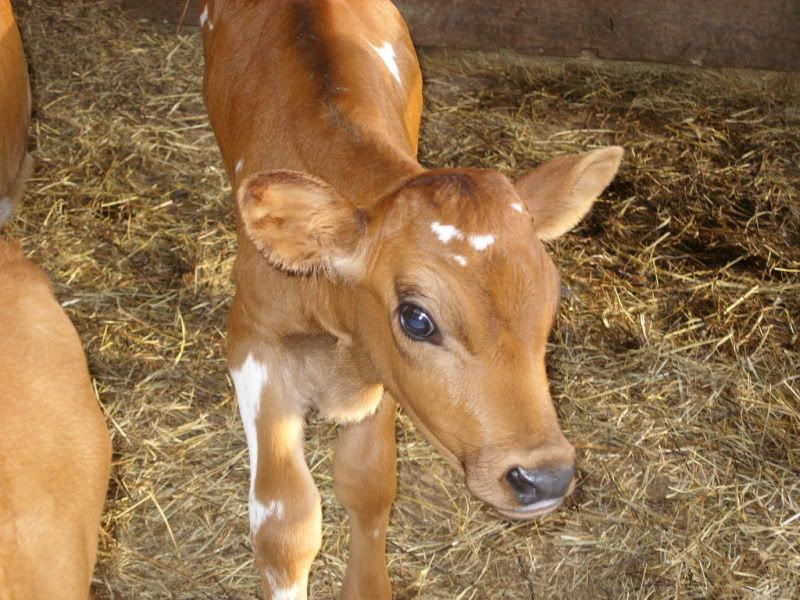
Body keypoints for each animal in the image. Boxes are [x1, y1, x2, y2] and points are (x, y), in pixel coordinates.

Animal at [201, 1, 622, 598]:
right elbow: (286, 523)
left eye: (552, 299)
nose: (545, 476)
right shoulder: (253, 340)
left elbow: (369, 481)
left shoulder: (382, 367)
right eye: (417, 319)